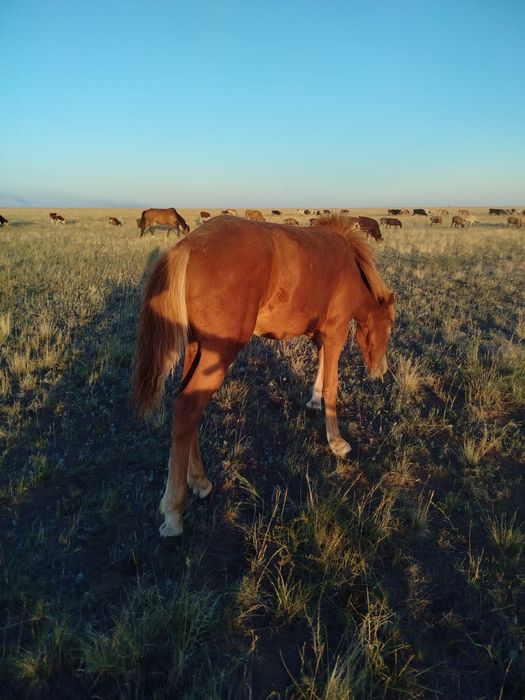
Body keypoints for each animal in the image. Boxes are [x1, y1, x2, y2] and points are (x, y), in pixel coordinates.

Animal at [133, 215, 395, 537]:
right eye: (390, 324)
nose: (381, 371)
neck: (349, 266)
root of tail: (190, 246)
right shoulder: (336, 332)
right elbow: (332, 384)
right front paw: (336, 442)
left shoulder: (321, 335)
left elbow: (321, 368)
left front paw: (314, 401)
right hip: (218, 353)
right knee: (186, 410)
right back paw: (174, 512)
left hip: (197, 348)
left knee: (187, 407)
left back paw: (200, 481)